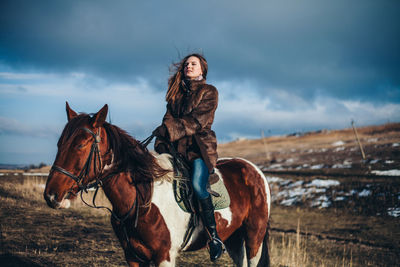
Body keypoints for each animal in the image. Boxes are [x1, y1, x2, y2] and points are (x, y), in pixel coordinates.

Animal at [43, 103, 272, 267]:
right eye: (59, 144)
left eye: (81, 144)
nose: (51, 195)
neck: (141, 199)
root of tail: (254, 170)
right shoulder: (133, 257)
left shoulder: (164, 257)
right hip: (234, 239)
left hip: (254, 237)